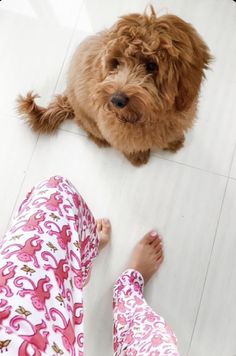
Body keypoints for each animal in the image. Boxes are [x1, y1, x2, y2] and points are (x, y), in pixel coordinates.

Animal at [17, 6, 211, 166]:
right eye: (116, 63)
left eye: (151, 65)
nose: (117, 100)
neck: (149, 116)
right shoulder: (116, 132)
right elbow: (129, 146)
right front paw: (138, 157)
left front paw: (174, 142)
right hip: (88, 119)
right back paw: (100, 140)